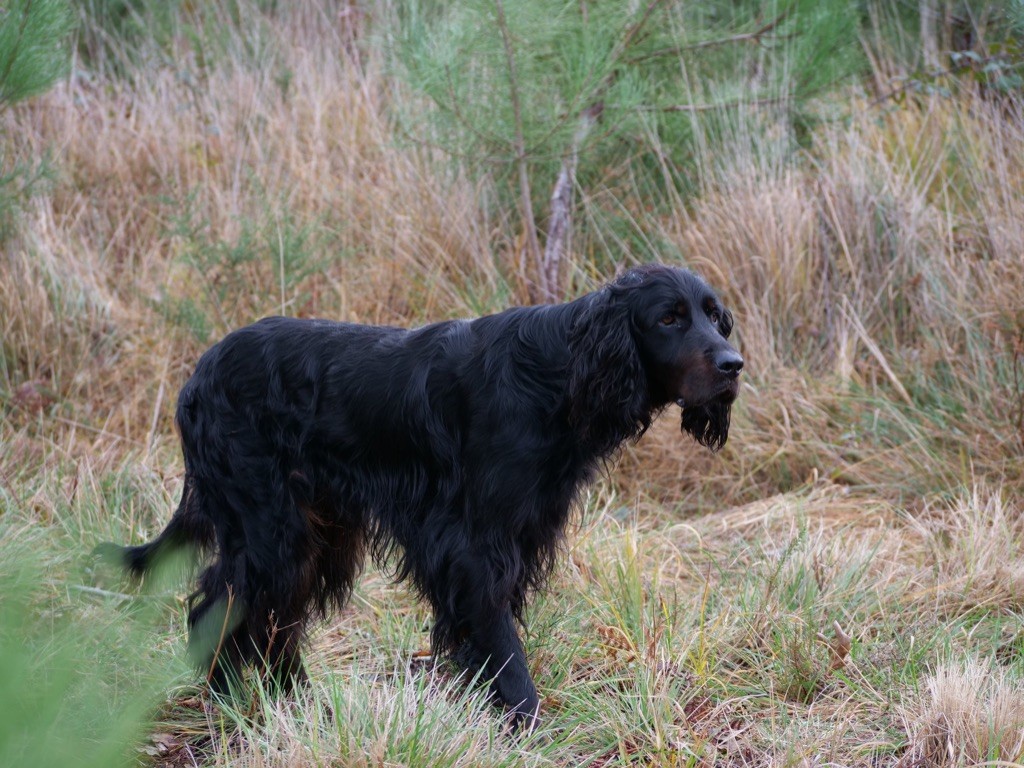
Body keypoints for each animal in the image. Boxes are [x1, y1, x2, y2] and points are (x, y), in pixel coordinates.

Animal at [96, 264, 741, 729]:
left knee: (274, 618)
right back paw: (231, 705)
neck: (559, 376)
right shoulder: (474, 542)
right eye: (668, 318)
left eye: (715, 317)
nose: (734, 364)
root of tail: (199, 374)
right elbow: (500, 638)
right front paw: (527, 721)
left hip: (316, 530)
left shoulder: (520, 535)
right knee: (221, 608)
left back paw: (297, 708)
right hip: (269, 527)